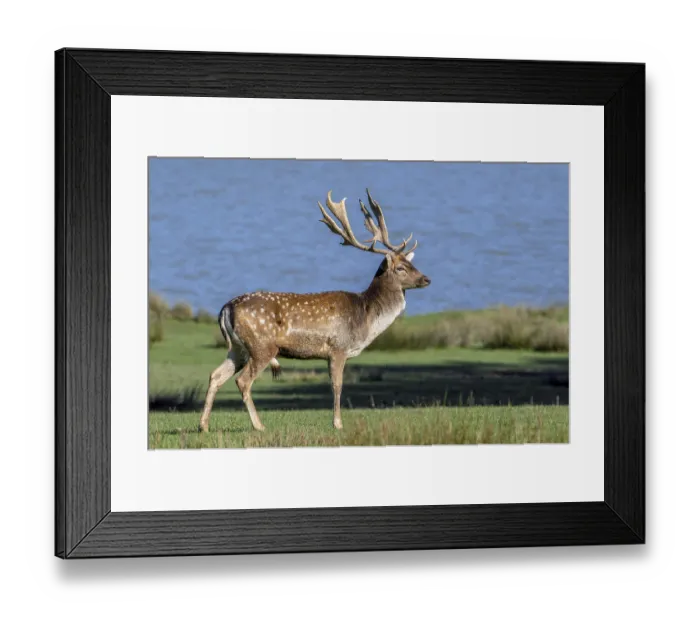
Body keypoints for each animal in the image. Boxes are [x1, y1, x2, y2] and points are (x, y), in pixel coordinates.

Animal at [199, 189, 431, 433]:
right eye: (401, 268)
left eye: (412, 264)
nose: (426, 279)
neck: (365, 316)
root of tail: (226, 308)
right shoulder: (338, 347)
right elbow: (337, 385)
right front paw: (338, 423)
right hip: (261, 346)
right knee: (242, 381)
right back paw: (259, 425)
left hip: (238, 349)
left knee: (215, 375)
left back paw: (203, 425)